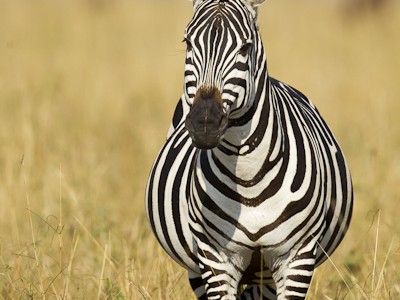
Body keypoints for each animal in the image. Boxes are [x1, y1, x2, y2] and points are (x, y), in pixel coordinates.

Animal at [145, 0, 352, 298]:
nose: (204, 124)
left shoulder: (297, 257)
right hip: (196, 267)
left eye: (245, 47)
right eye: (188, 42)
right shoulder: (215, 258)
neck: (248, 176)